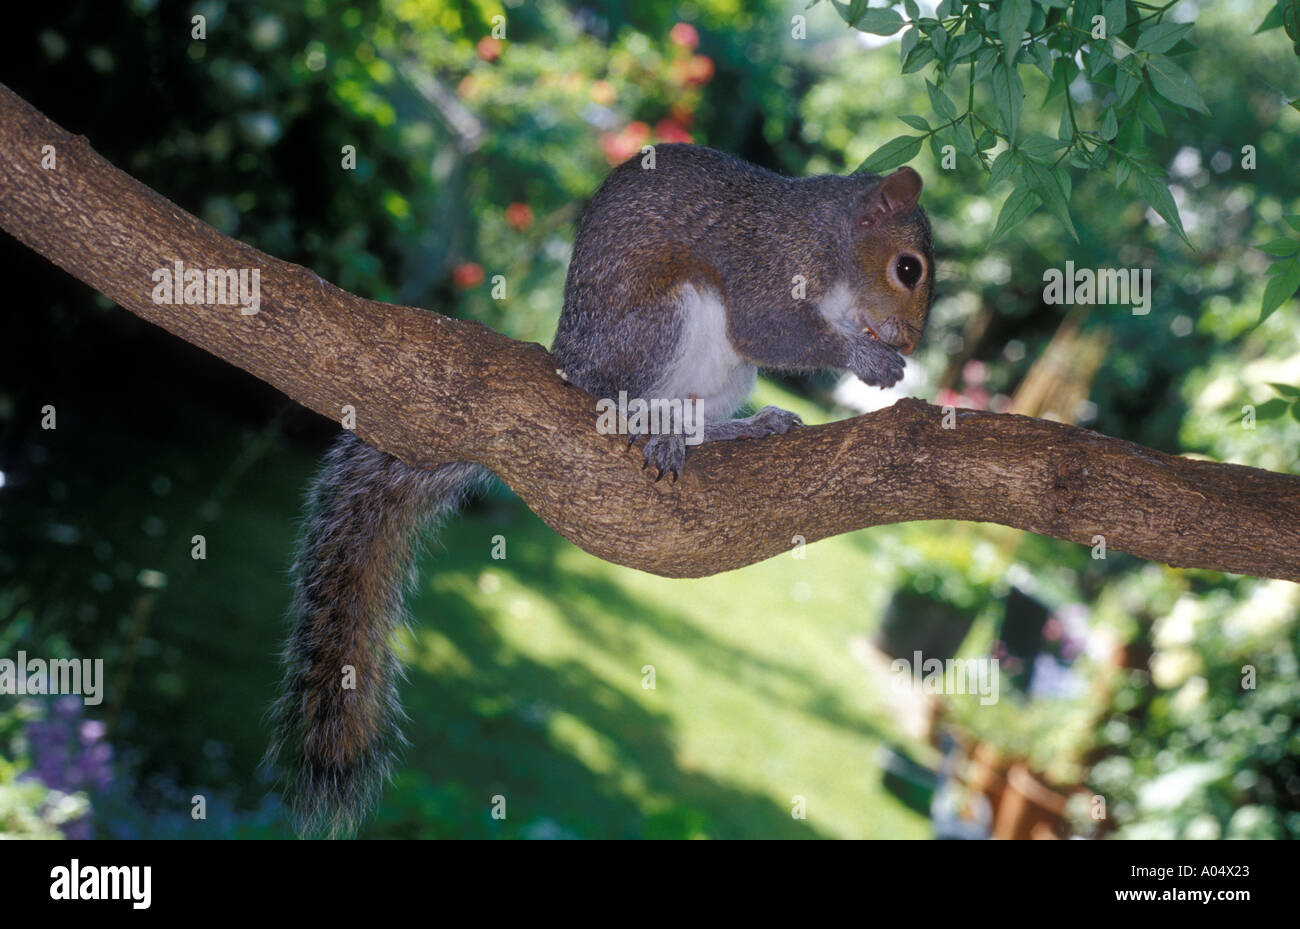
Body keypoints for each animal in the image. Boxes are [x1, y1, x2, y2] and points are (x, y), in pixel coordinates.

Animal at [266, 143, 935, 836]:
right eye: (908, 269)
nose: (911, 341)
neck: (828, 241)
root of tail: (574, 363)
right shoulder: (766, 266)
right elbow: (770, 329)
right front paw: (867, 359)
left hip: (716, 376)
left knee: (695, 422)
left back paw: (733, 429)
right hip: (660, 321)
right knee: (619, 405)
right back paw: (654, 430)